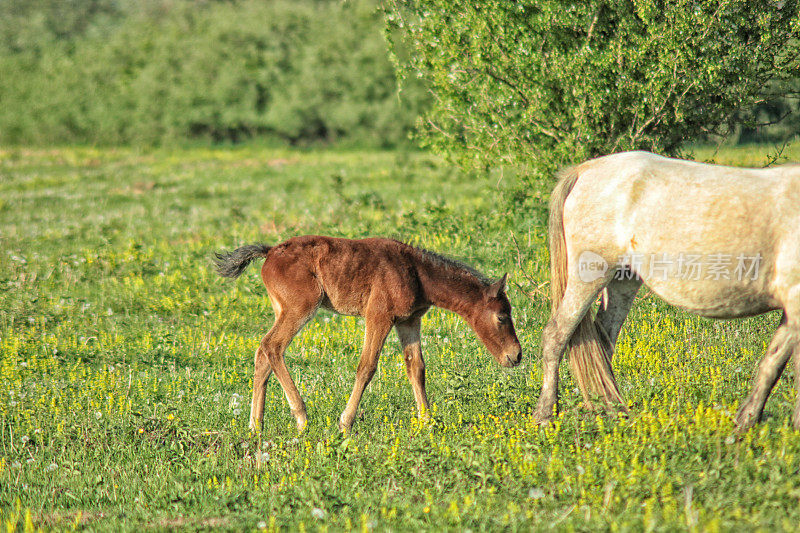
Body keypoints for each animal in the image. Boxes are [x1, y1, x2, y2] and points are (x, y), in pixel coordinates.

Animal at [216, 235, 520, 430]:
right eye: (502, 316)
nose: (515, 356)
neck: (416, 272)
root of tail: (270, 252)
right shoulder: (379, 316)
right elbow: (367, 367)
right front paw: (345, 422)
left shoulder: (408, 321)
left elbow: (417, 368)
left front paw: (427, 421)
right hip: (300, 308)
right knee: (272, 347)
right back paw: (301, 418)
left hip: (282, 310)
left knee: (262, 354)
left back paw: (256, 426)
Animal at [536, 149, 800, 428]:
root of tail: (584, 170)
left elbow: (773, 362)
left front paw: (747, 421)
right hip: (590, 273)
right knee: (556, 335)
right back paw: (545, 415)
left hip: (623, 279)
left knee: (604, 339)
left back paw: (613, 409)